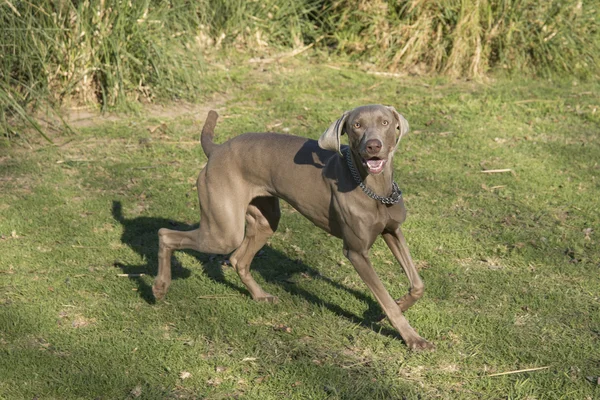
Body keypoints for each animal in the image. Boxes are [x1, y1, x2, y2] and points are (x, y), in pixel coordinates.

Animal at [155, 105, 434, 350]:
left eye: (385, 122)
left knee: (238, 259)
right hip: (224, 231)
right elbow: (385, 297)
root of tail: (216, 149)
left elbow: (418, 284)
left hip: (265, 220)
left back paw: (260, 295)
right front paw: (412, 337)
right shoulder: (356, 252)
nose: (373, 146)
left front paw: (391, 309)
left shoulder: (392, 231)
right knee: (166, 234)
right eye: (357, 125)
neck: (374, 188)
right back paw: (160, 287)